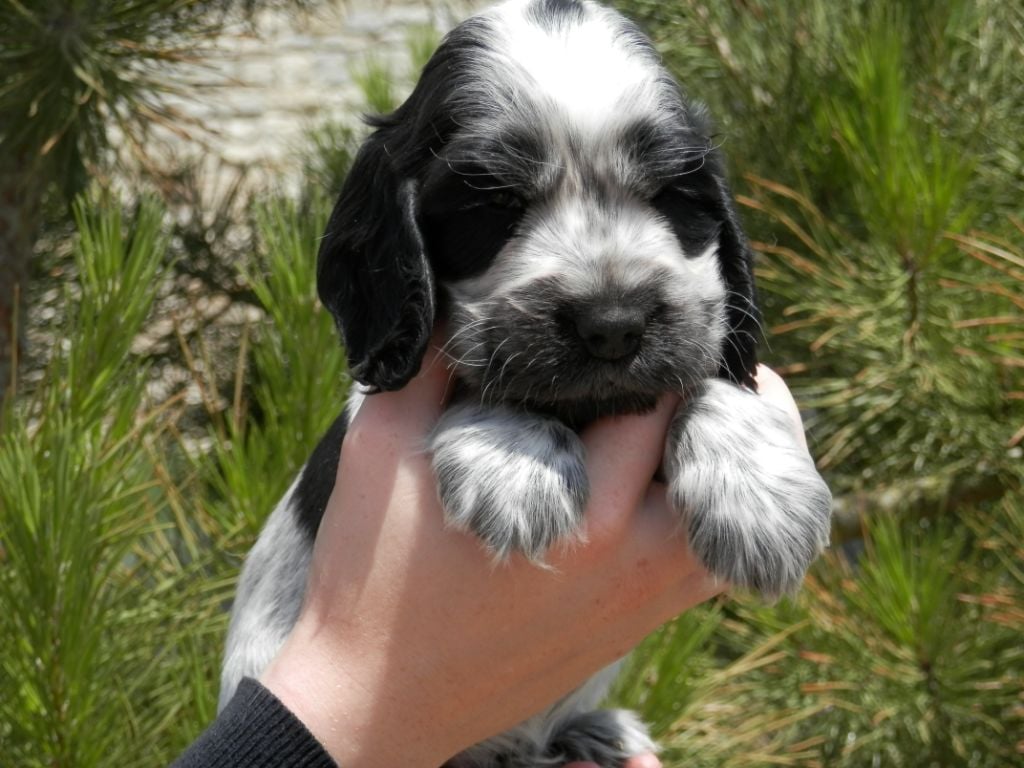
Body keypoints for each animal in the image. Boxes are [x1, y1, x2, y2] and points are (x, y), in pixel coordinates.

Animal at [220, 3, 835, 765]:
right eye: (493, 205)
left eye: (672, 197)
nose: (613, 324)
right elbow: (479, 371)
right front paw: (516, 464)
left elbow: (714, 371)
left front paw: (759, 500)